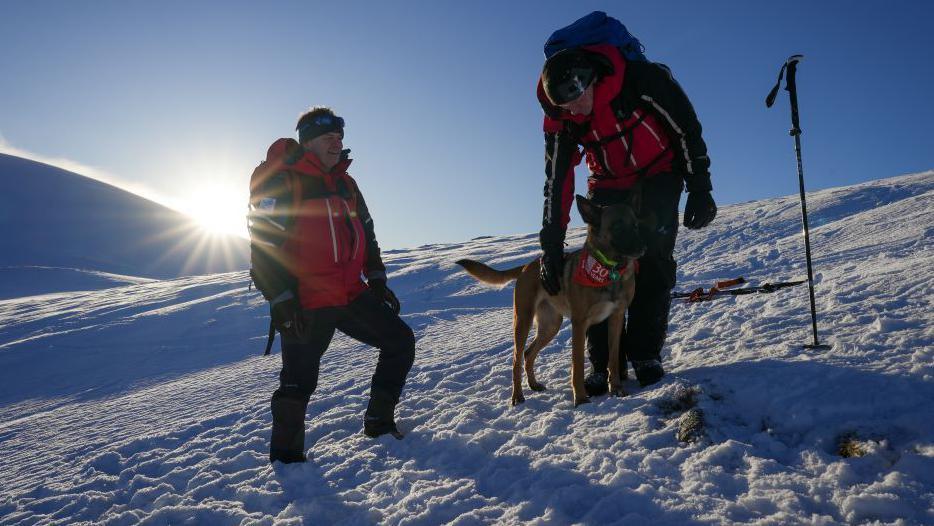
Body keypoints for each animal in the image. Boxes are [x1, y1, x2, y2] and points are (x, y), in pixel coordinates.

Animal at [458, 192, 648, 410]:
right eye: (617, 226)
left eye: (636, 225)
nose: (643, 247)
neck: (609, 270)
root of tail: (527, 266)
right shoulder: (579, 323)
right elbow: (577, 365)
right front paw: (581, 399)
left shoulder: (616, 318)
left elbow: (614, 359)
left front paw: (616, 389)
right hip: (523, 321)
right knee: (516, 360)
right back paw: (517, 396)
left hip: (550, 325)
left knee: (528, 353)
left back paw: (533, 385)